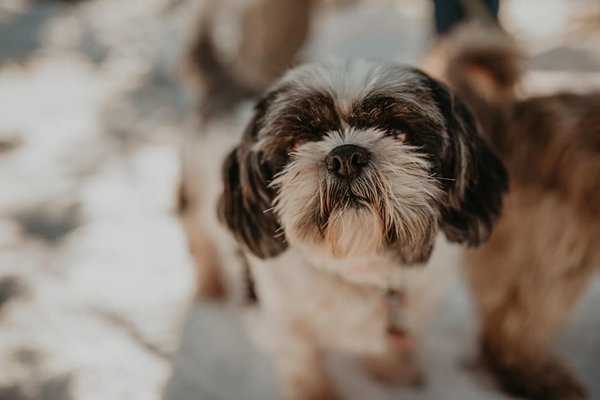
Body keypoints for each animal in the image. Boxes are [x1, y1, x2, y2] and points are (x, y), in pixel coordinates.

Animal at [177, 58, 506, 396]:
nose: (346, 157)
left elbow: (393, 346)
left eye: (399, 132)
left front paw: (394, 373)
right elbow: (304, 366)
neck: (356, 264)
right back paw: (209, 283)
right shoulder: (282, 325)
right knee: (197, 236)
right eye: (298, 142)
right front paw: (316, 394)